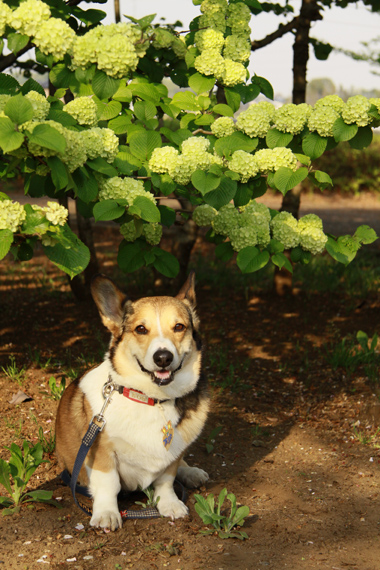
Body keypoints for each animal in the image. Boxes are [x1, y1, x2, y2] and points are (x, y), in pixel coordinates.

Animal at [55, 270, 211, 528]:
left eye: (179, 327)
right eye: (140, 329)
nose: (163, 357)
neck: (150, 399)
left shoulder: (170, 457)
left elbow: (166, 480)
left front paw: (170, 504)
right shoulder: (102, 451)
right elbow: (108, 485)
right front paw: (106, 514)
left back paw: (192, 472)